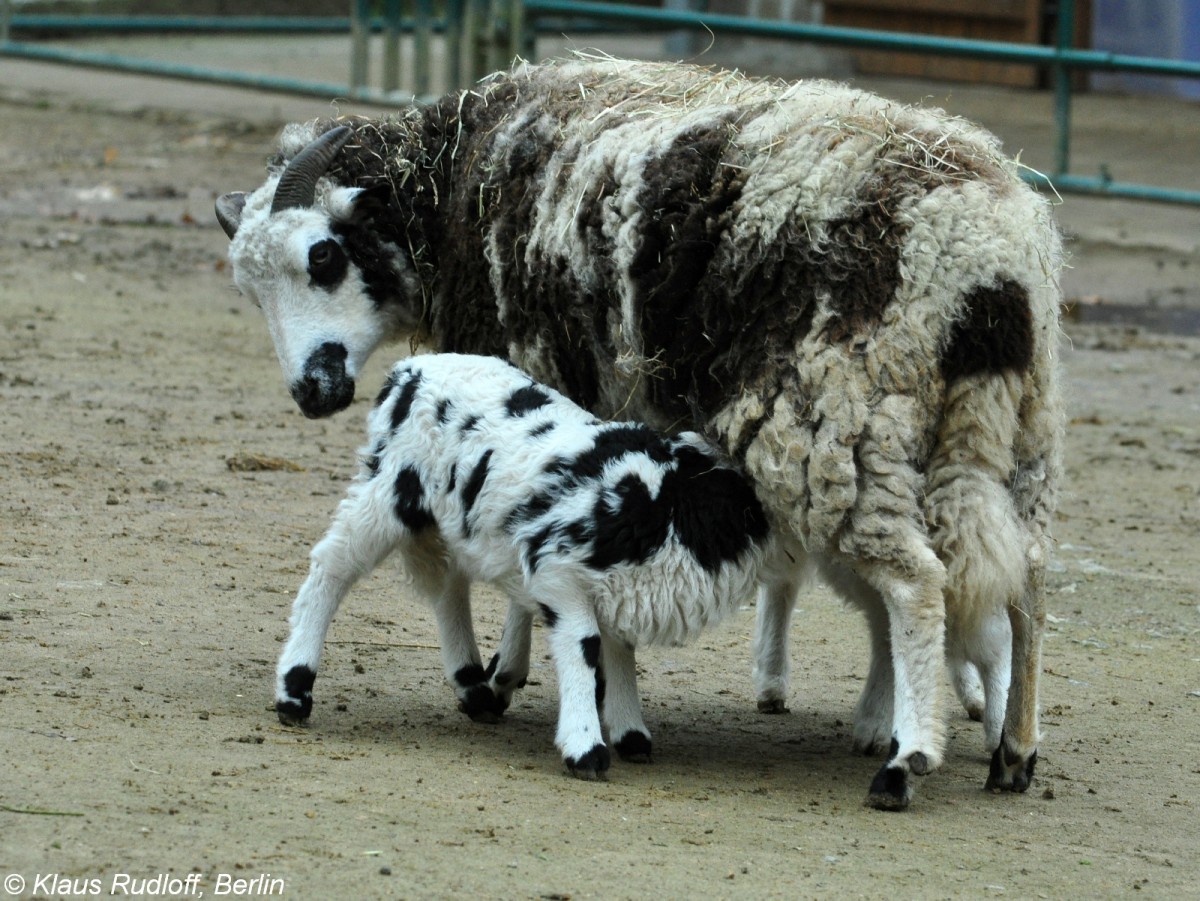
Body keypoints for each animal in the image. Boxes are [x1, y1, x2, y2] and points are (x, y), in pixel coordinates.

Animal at [216, 54, 1060, 811]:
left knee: (916, 584)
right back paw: (1012, 749)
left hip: (839, 417)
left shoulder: (535, 365)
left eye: (323, 255)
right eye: (250, 288)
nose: (312, 390)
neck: (456, 185)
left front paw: (509, 669)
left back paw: (905, 761)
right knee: (1024, 579)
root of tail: (989, 258)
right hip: (1006, 434)